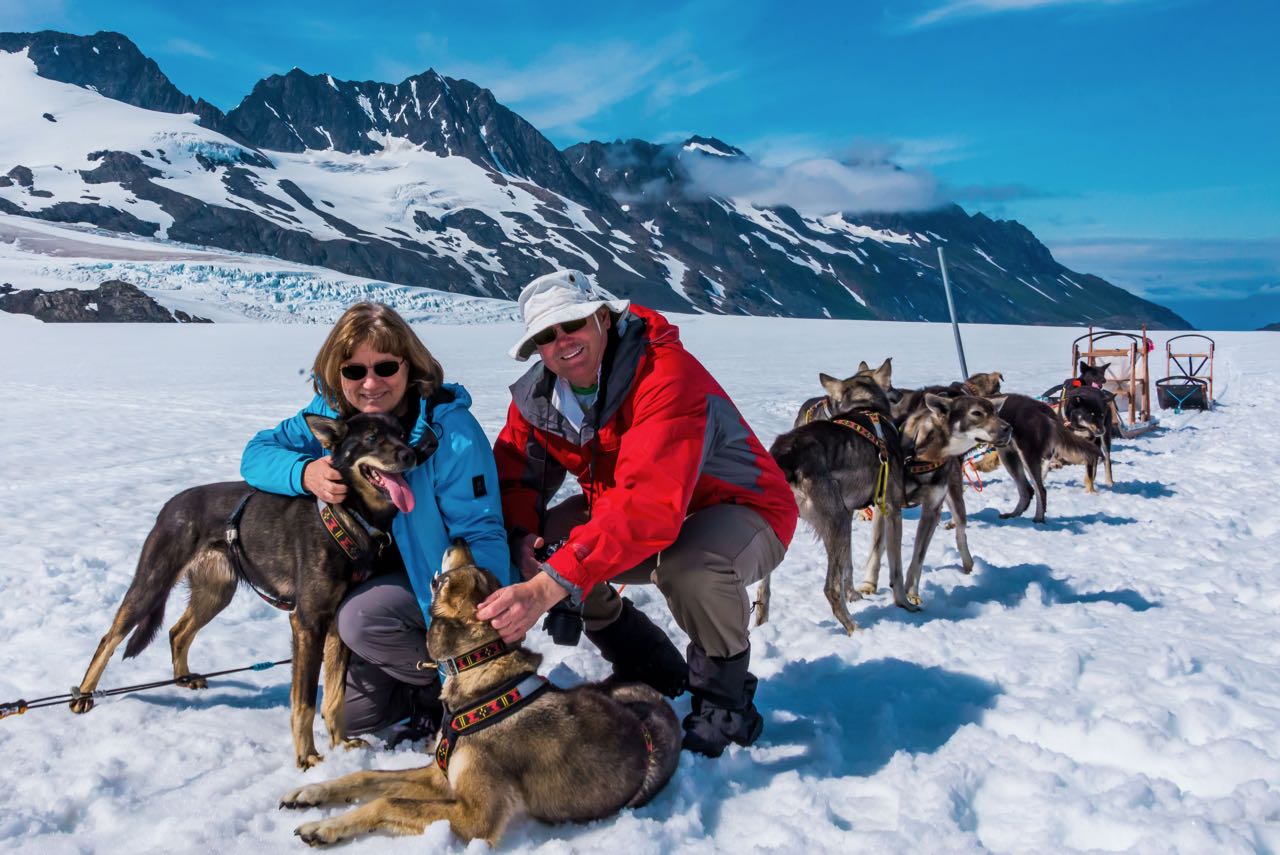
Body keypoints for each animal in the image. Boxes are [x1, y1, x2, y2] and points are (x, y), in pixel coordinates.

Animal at [68, 409, 430, 767]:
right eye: (371, 437)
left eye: (402, 433)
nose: (410, 455)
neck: (347, 516)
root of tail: (172, 504)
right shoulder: (307, 622)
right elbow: (305, 702)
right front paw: (307, 756)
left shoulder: (336, 626)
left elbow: (335, 696)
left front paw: (341, 743)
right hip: (152, 583)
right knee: (109, 638)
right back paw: (83, 694)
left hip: (215, 594)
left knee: (178, 632)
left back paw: (184, 677)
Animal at [280, 545, 680, 844]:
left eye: (449, 579)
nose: (459, 538)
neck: (481, 675)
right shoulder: (438, 776)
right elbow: (366, 778)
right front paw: (310, 793)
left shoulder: (475, 814)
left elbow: (388, 802)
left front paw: (325, 826)